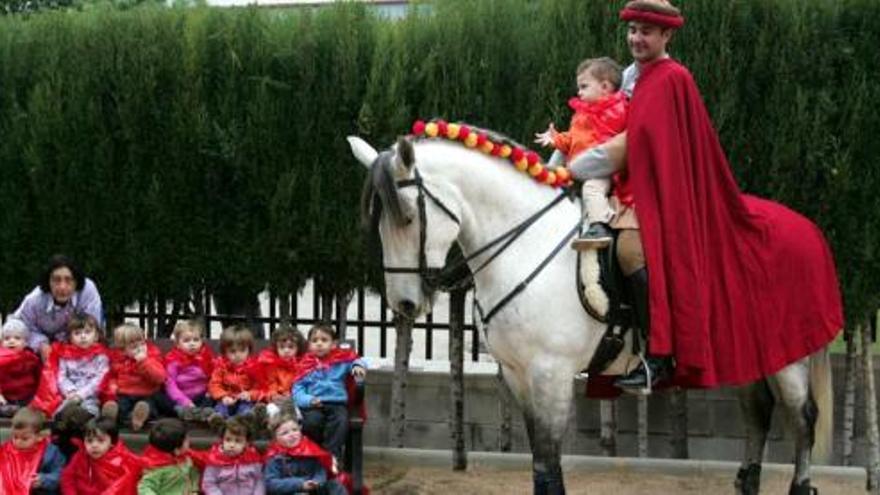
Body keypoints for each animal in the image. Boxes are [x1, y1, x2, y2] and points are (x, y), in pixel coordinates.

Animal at [348, 133, 832, 495]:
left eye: (408, 218)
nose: (404, 305)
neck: (527, 242)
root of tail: (807, 228)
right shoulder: (518, 374)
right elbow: (540, 463)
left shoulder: (552, 373)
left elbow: (549, 461)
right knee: (759, 414)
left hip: (788, 355)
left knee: (802, 419)